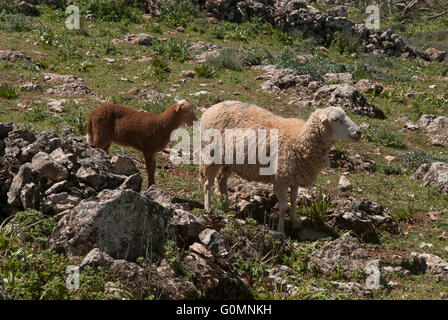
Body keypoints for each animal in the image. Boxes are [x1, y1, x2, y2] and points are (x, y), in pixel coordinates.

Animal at [200, 101, 360, 234]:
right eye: (336, 119)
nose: (358, 132)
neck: (300, 140)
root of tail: (212, 108)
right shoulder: (281, 180)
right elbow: (283, 207)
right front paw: (281, 231)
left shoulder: (295, 178)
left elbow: (294, 200)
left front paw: (295, 221)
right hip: (210, 155)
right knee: (208, 183)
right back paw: (208, 208)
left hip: (228, 161)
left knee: (222, 180)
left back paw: (226, 205)